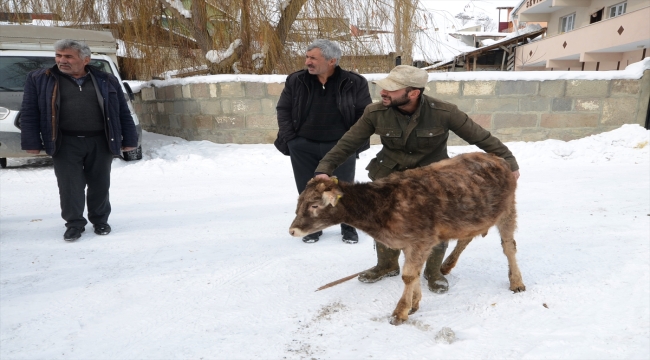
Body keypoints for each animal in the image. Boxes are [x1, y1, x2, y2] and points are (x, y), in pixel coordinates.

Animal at [292, 152, 524, 326]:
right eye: (299, 201)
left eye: (314, 205)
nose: (292, 230)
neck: (384, 205)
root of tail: (497, 158)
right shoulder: (408, 243)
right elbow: (413, 275)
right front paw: (414, 303)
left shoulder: (421, 241)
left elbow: (408, 276)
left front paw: (400, 312)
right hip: (471, 218)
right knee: (465, 239)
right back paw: (447, 265)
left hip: (507, 211)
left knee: (509, 247)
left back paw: (516, 282)